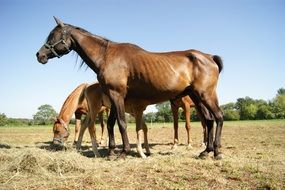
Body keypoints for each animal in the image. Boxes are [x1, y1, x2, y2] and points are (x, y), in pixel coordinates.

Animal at [36, 17, 222, 159]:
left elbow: (121, 123)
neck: (106, 56)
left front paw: (124, 152)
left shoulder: (117, 94)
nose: (40, 55)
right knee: (209, 120)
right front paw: (111, 152)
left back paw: (217, 152)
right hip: (197, 97)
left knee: (218, 117)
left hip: (205, 95)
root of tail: (209, 57)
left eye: (52, 36)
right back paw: (206, 151)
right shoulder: (112, 98)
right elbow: (111, 124)